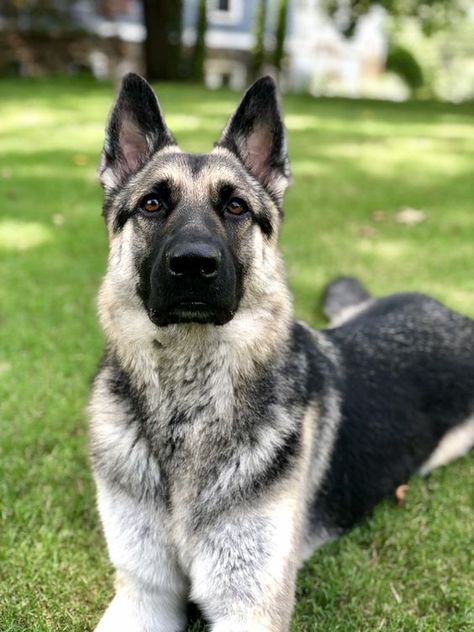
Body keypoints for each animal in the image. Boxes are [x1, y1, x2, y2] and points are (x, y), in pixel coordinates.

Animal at [89, 75, 474, 632]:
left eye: (235, 208)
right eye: (152, 205)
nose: (193, 264)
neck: (189, 403)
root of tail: (446, 309)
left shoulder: (248, 610)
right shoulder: (144, 593)